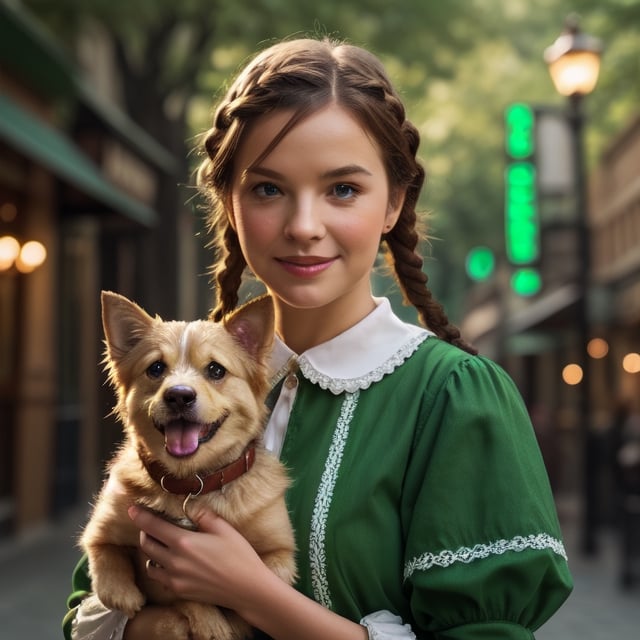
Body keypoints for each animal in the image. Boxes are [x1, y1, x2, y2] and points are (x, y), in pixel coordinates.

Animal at [80, 292, 298, 640]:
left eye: (216, 370)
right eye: (155, 368)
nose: (179, 395)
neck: (190, 484)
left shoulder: (280, 553)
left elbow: (258, 589)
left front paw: (224, 620)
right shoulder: (101, 529)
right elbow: (104, 559)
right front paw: (126, 595)